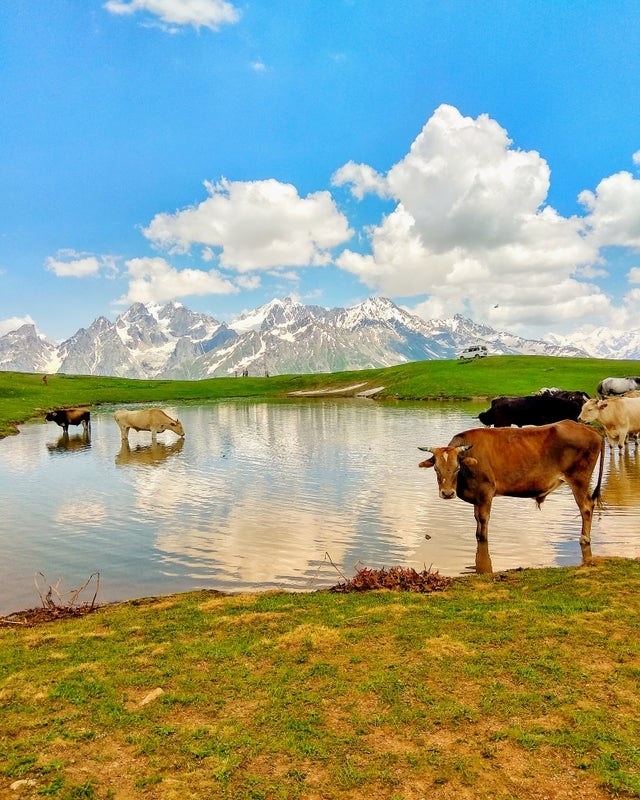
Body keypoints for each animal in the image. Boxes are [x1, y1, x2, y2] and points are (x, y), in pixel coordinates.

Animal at [420, 418, 604, 552]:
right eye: (436, 469)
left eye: (457, 468)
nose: (447, 493)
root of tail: (590, 429)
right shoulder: (477, 497)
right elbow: (477, 520)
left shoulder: (486, 492)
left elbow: (483, 519)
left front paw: (484, 539)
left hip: (579, 480)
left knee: (586, 507)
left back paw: (585, 538)